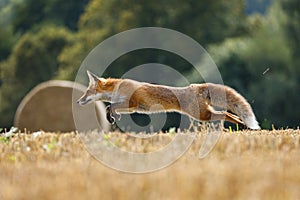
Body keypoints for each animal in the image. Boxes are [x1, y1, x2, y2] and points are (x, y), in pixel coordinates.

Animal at [78, 70, 260, 130]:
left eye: (87, 92)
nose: (78, 101)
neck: (117, 88)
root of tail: (195, 86)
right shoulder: (134, 107)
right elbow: (111, 107)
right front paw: (113, 117)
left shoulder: (132, 102)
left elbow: (110, 106)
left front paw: (111, 116)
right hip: (204, 114)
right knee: (232, 114)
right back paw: (243, 125)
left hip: (201, 115)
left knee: (225, 114)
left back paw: (244, 125)